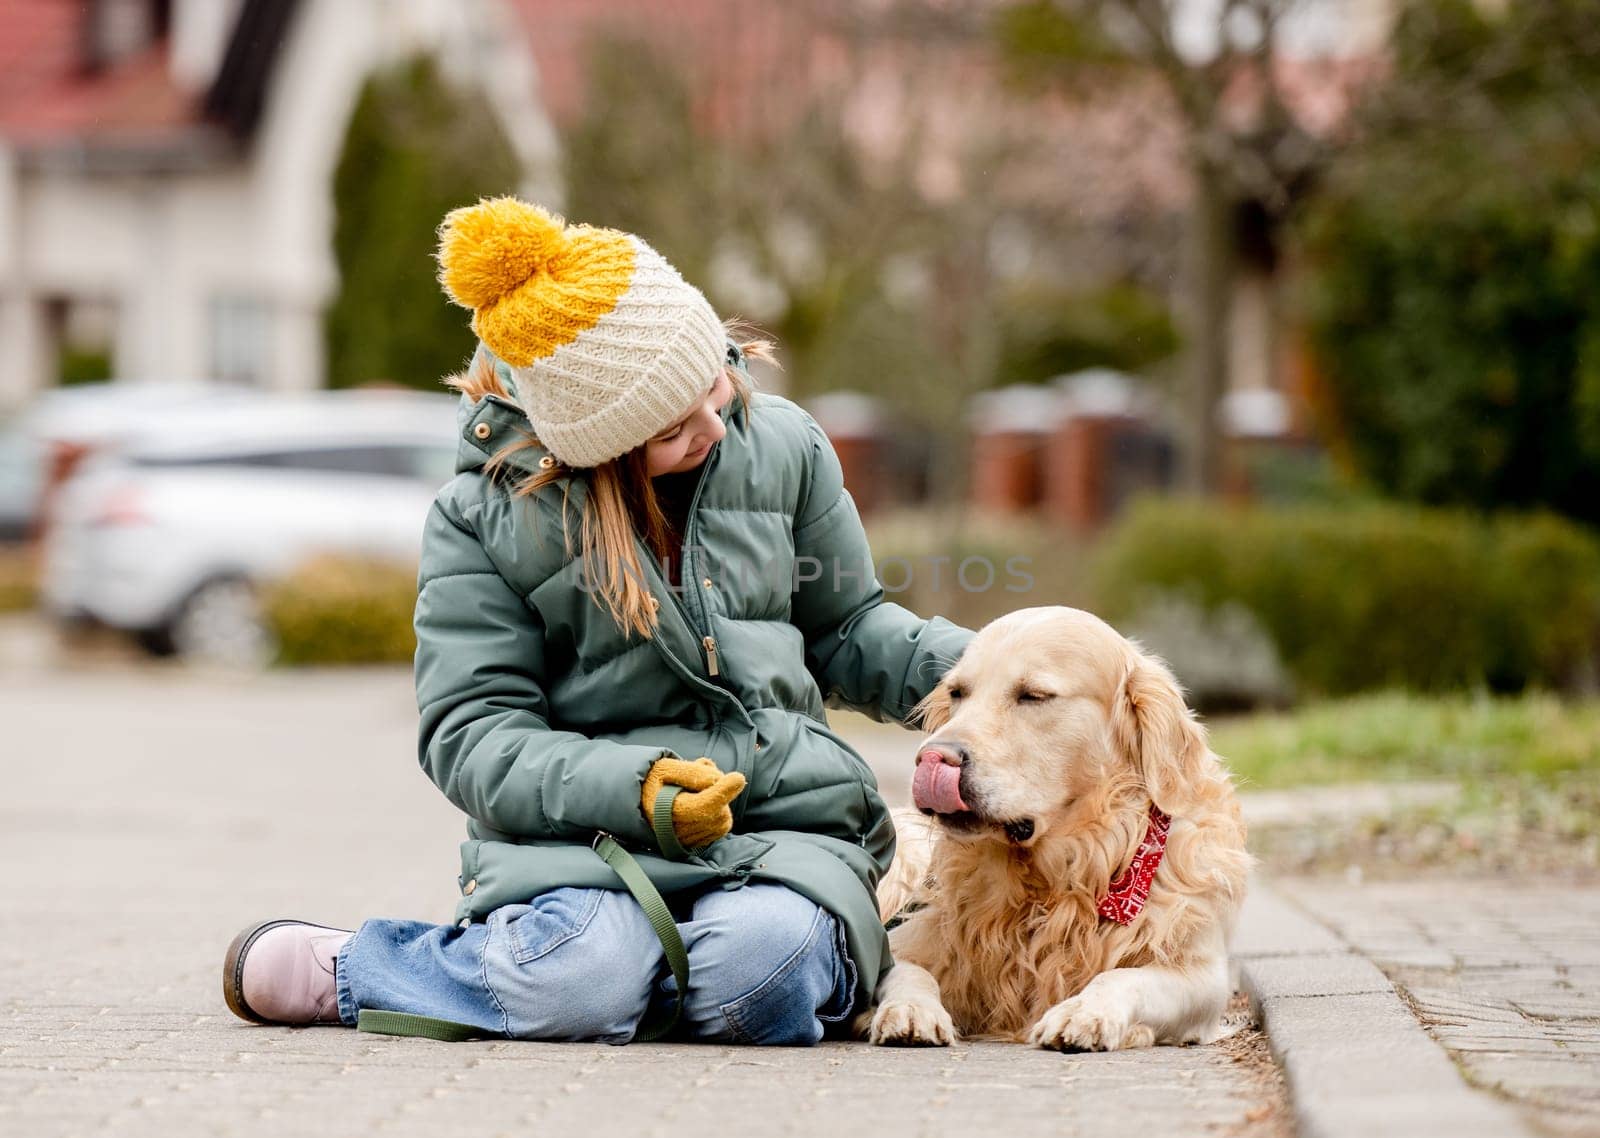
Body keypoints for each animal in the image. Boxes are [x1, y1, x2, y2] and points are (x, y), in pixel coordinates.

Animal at [864, 605, 1248, 1049]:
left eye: (1033, 695)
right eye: (958, 693)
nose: (933, 757)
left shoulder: (1202, 977)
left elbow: (1123, 977)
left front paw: (1084, 1011)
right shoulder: (899, 940)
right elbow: (907, 971)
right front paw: (911, 1009)